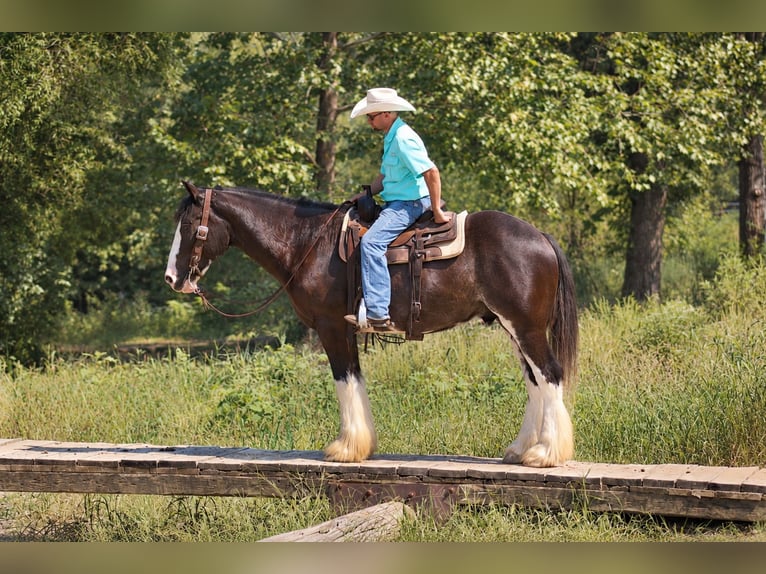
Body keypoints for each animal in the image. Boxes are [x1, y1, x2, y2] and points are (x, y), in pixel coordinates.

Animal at [165, 181, 578, 467]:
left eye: (190, 224)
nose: (171, 278)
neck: (307, 244)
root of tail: (540, 235)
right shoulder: (344, 330)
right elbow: (356, 380)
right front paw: (360, 446)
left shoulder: (331, 327)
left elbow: (344, 380)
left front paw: (346, 448)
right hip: (514, 329)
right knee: (535, 381)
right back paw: (522, 449)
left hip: (526, 329)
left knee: (550, 375)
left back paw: (546, 453)